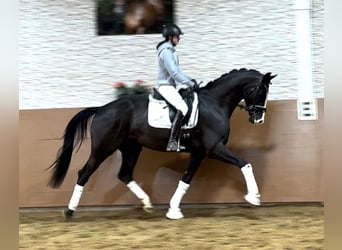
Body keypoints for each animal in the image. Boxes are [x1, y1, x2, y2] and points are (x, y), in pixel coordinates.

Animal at [48, 68, 276, 219]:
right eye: (261, 91)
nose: (259, 119)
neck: (215, 103)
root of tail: (102, 108)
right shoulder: (214, 148)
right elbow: (245, 164)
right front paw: (254, 197)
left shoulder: (200, 152)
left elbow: (186, 179)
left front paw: (173, 209)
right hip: (104, 148)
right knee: (84, 173)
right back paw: (69, 211)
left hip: (131, 147)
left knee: (125, 174)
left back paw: (147, 203)